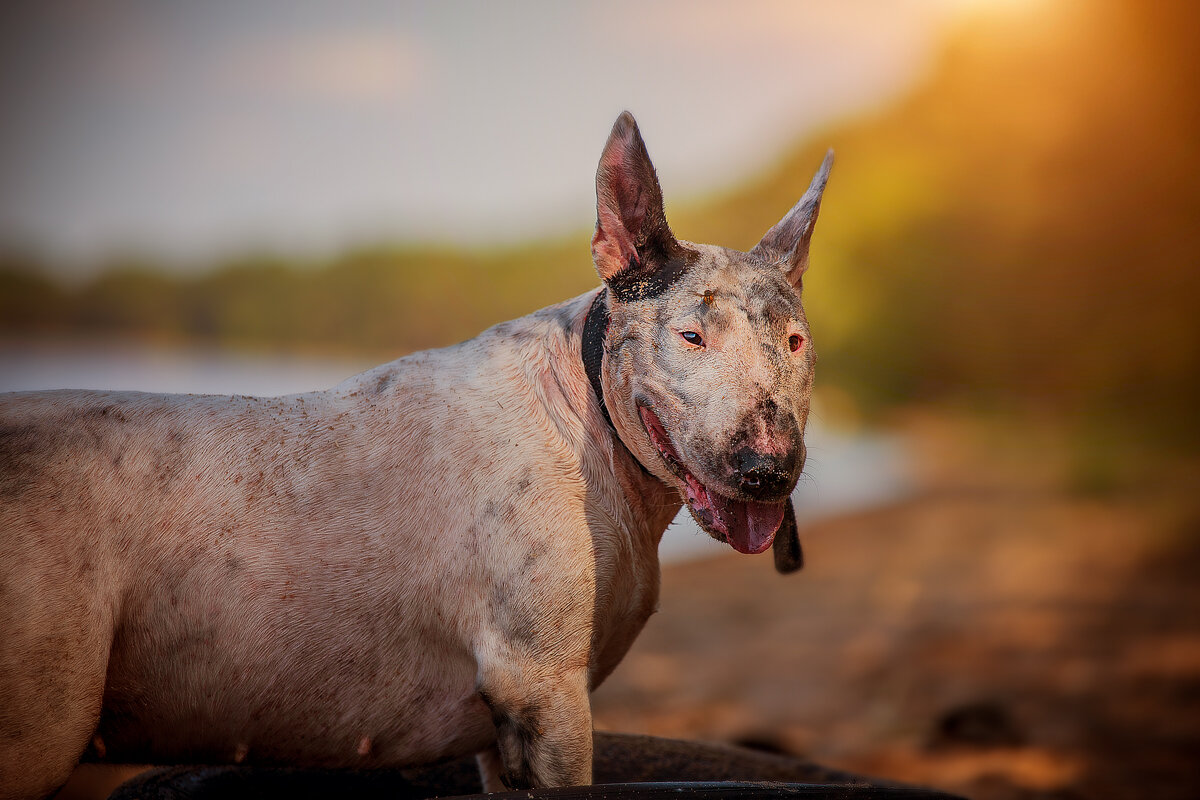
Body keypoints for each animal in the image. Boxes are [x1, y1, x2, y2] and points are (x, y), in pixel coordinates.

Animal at [0, 110, 830, 796]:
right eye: (691, 337)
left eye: (796, 344)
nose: (770, 470)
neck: (587, 413)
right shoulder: (544, 688)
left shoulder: (510, 721)